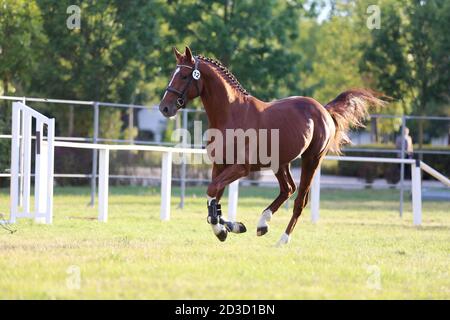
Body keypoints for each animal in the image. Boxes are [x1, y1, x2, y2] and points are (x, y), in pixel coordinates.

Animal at [158, 46, 384, 245]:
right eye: (172, 74)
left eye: (184, 76)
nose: (164, 108)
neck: (231, 115)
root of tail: (323, 109)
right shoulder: (220, 165)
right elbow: (214, 196)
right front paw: (230, 226)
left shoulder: (241, 167)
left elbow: (212, 191)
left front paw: (223, 229)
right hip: (280, 163)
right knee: (288, 189)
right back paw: (262, 223)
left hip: (311, 159)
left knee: (299, 200)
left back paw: (282, 239)